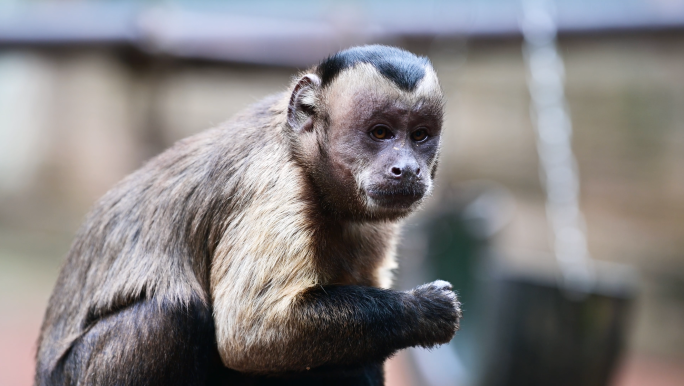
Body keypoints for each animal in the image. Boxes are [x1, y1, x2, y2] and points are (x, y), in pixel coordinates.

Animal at [36, 46, 460, 386]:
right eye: (380, 132)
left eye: (420, 135)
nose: (407, 169)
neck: (303, 155)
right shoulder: (275, 187)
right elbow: (249, 336)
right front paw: (421, 311)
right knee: (174, 313)